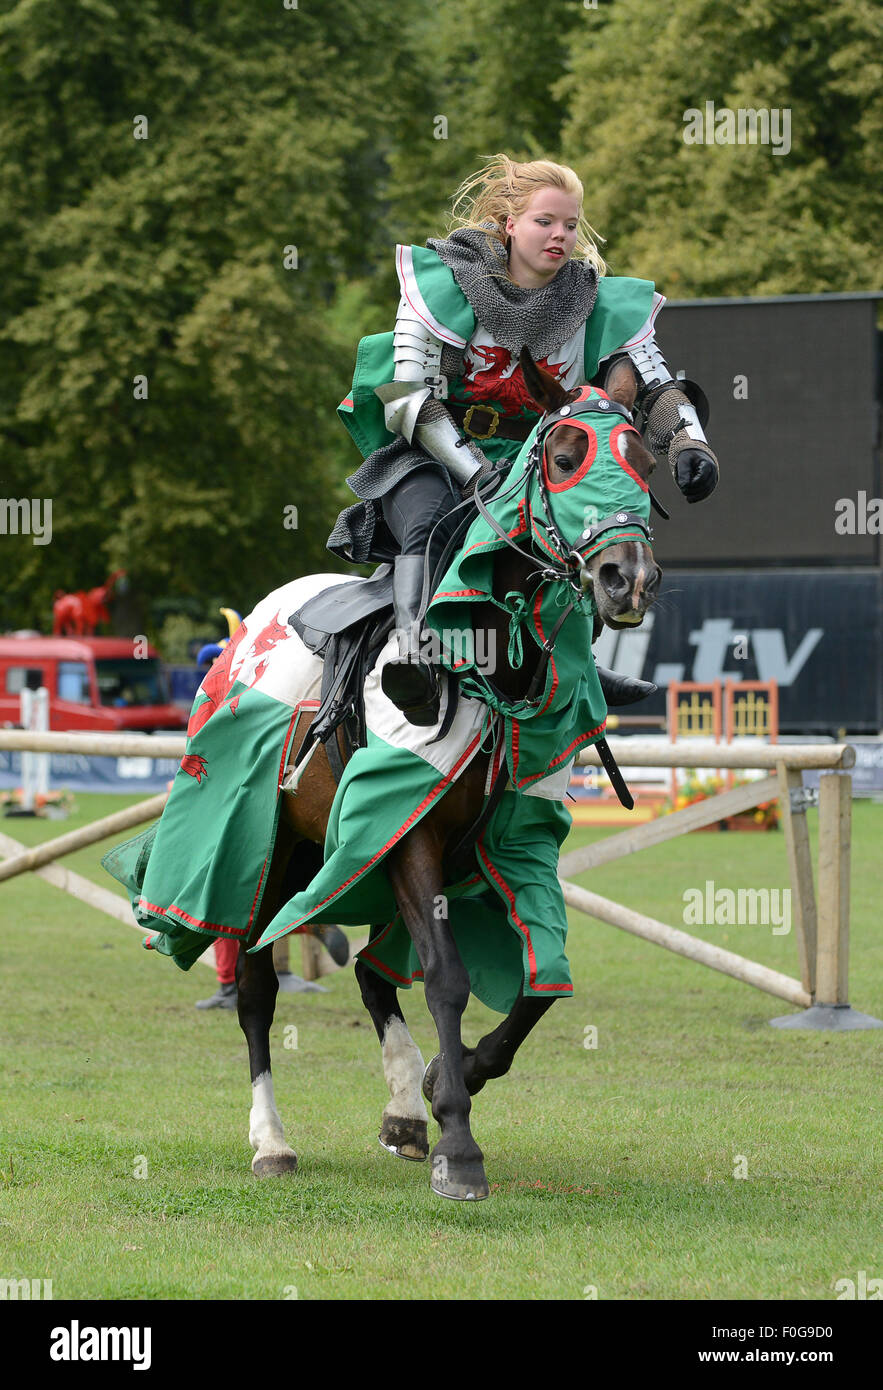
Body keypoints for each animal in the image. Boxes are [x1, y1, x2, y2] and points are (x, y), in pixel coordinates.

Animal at [229, 353, 661, 1200]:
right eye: (564, 457)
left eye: (644, 461)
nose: (625, 578)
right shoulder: (408, 835)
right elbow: (447, 978)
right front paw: (458, 1144)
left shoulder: (514, 843)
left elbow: (541, 979)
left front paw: (443, 1080)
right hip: (273, 851)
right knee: (258, 988)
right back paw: (270, 1140)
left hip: (338, 854)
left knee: (370, 973)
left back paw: (401, 1109)